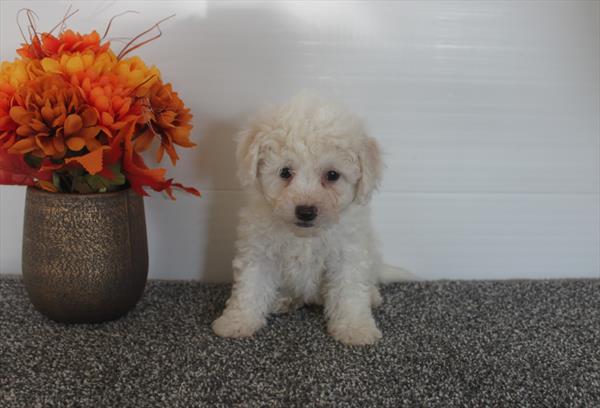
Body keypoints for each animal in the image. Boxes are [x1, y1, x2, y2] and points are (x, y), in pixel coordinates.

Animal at [213, 94, 384, 346]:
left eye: (332, 175)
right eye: (285, 172)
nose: (305, 211)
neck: (304, 236)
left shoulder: (348, 255)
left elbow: (349, 291)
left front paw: (355, 328)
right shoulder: (258, 251)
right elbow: (249, 287)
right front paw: (237, 321)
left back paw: (371, 295)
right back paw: (283, 299)